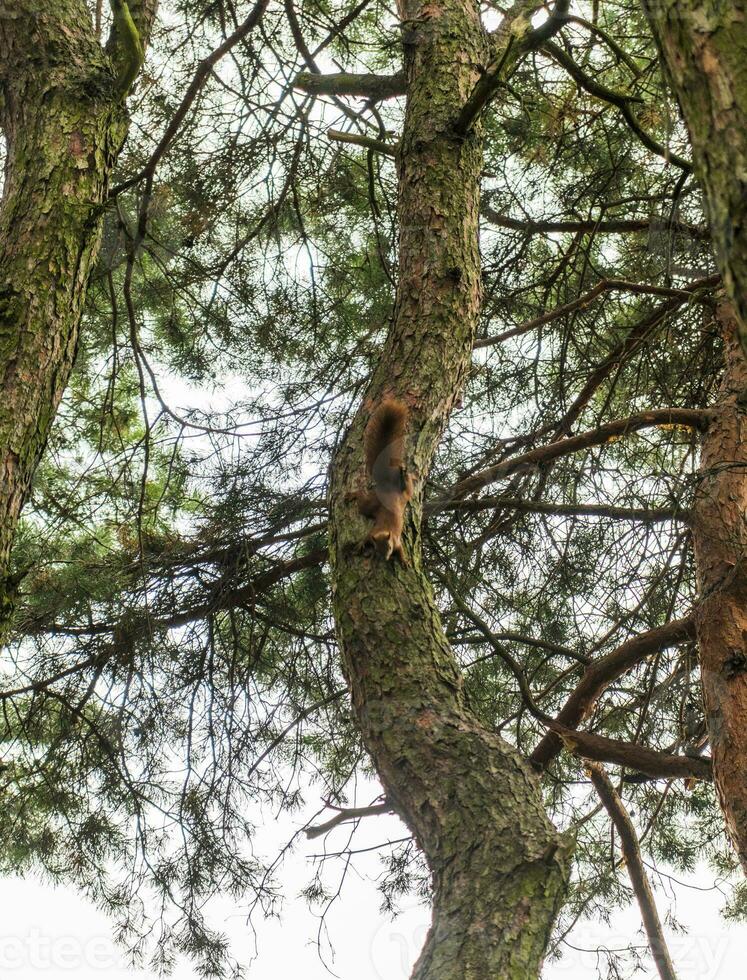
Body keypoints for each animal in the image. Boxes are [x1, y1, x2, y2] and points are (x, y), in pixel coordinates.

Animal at [356, 398, 418, 564]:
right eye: (377, 548)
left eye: (389, 547)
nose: (385, 558)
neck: (384, 530)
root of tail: (387, 487)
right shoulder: (372, 534)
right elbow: (366, 538)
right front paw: (361, 545)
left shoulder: (397, 541)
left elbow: (401, 551)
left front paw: (404, 561)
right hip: (372, 504)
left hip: (403, 496)